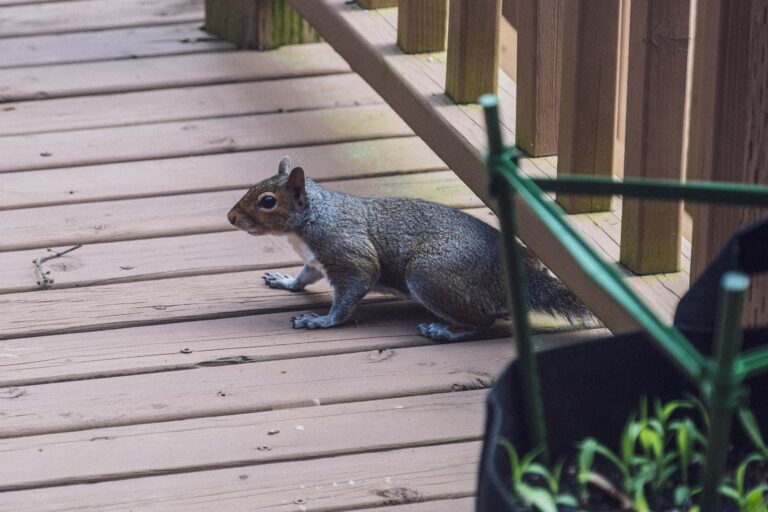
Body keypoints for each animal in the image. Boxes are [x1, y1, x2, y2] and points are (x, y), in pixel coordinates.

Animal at [227, 156, 593, 342]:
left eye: (268, 201)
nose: (230, 217)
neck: (310, 221)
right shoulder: (317, 261)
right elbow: (304, 277)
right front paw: (286, 281)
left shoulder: (348, 253)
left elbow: (350, 293)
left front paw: (321, 320)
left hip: (429, 275)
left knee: (484, 320)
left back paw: (443, 330)